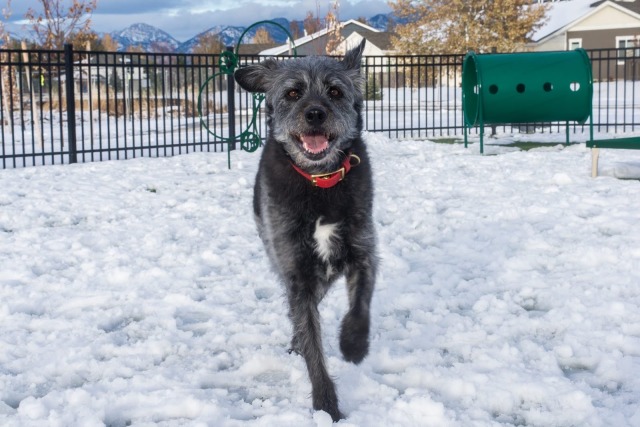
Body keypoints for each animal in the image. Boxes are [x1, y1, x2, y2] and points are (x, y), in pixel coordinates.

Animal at [234, 40, 376, 422]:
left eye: (335, 91)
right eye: (293, 92)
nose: (314, 114)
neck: (319, 183)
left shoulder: (363, 251)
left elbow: (361, 304)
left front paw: (353, 344)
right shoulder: (296, 272)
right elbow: (312, 343)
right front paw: (327, 406)